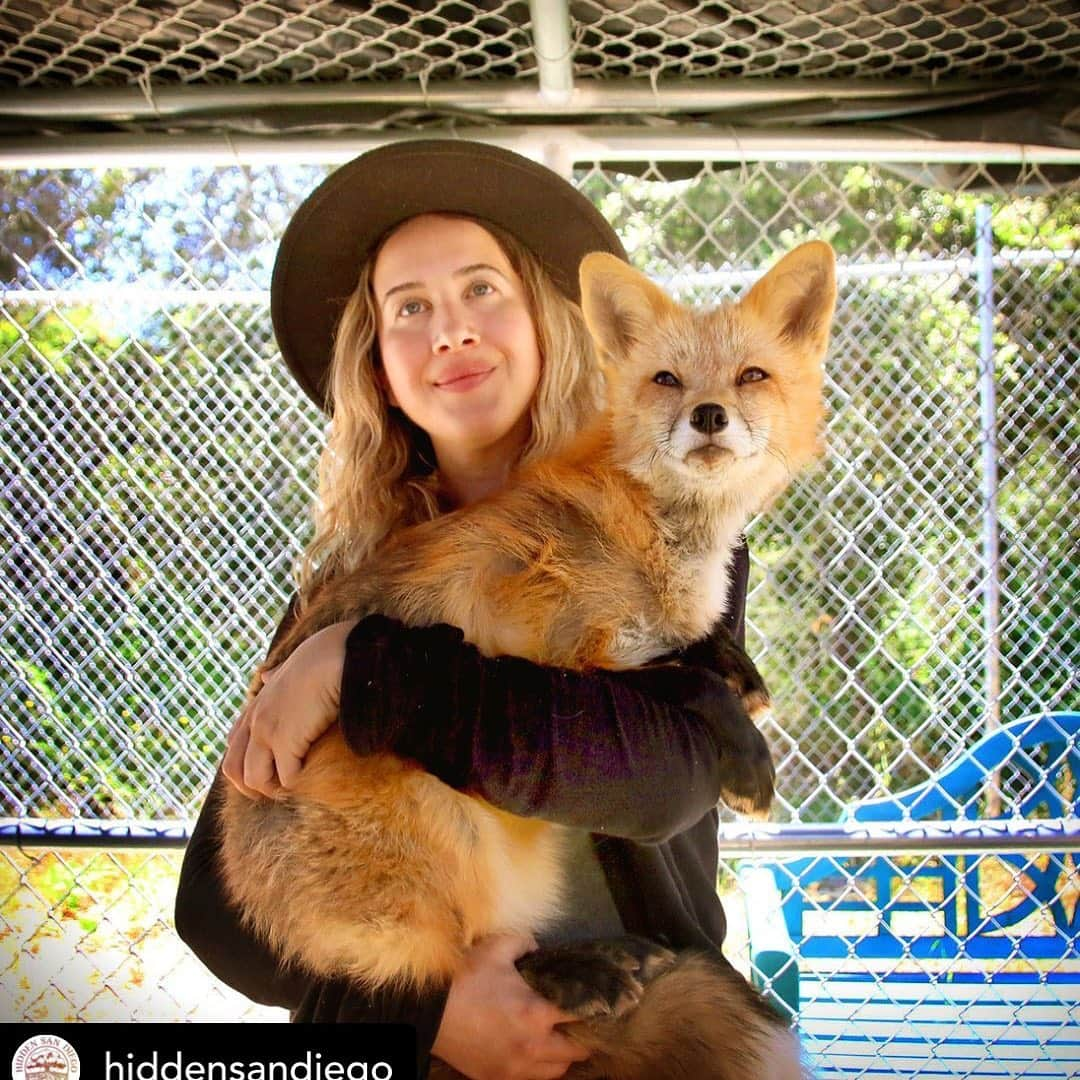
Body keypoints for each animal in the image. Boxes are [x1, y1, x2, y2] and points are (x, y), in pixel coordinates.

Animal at [217, 240, 833, 1075]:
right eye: (666, 380)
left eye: (752, 376)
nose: (709, 416)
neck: (659, 532)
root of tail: (256, 895)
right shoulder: (576, 657)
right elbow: (689, 684)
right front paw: (749, 759)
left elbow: (698, 648)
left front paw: (740, 665)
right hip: (437, 811)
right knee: (453, 958)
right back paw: (577, 973)